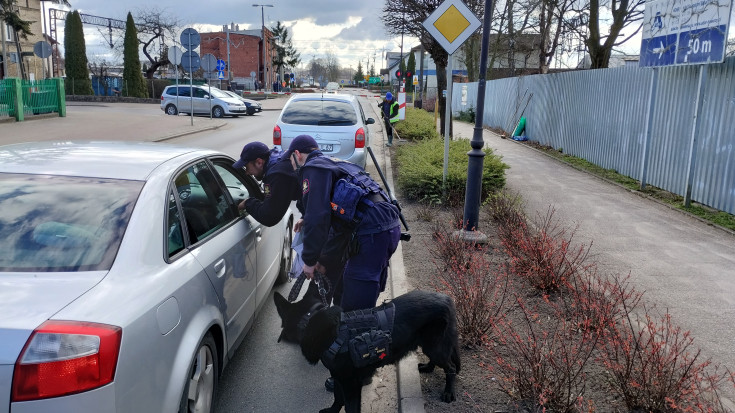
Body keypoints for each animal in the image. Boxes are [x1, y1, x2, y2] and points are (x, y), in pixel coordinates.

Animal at [276, 286, 460, 412]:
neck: (309, 319)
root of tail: (447, 299)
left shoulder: (351, 385)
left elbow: (350, 407)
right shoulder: (339, 377)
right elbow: (337, 398)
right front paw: (332, 411)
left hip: (434, 346)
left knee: (450, 368)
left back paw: (448, 393)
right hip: (430, 345)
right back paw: (427, 367)